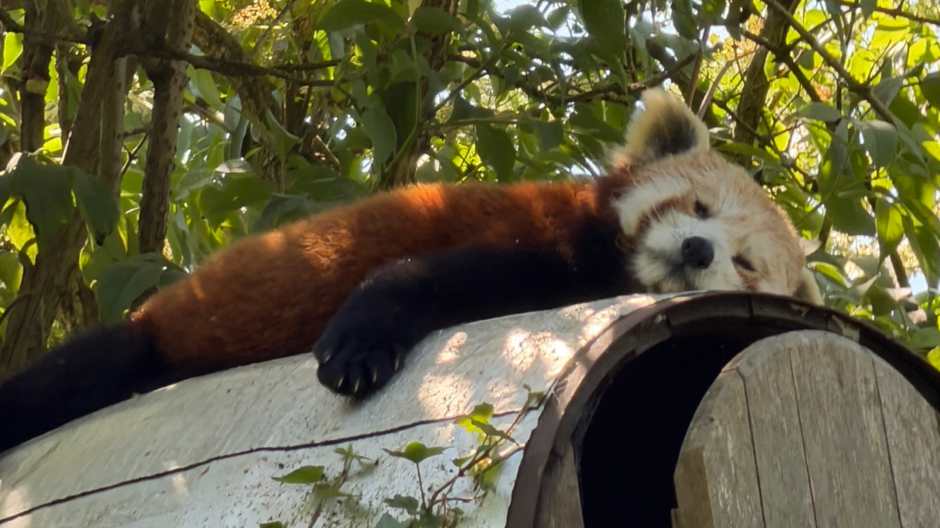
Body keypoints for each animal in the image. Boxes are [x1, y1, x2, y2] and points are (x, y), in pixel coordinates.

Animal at [0, 89, 821, 452]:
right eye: (698, 206)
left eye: (746, 263)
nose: (697, 251)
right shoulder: (533, 235)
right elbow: (413, 276)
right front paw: (356, 352)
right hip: (143, 338)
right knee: (75, 372)